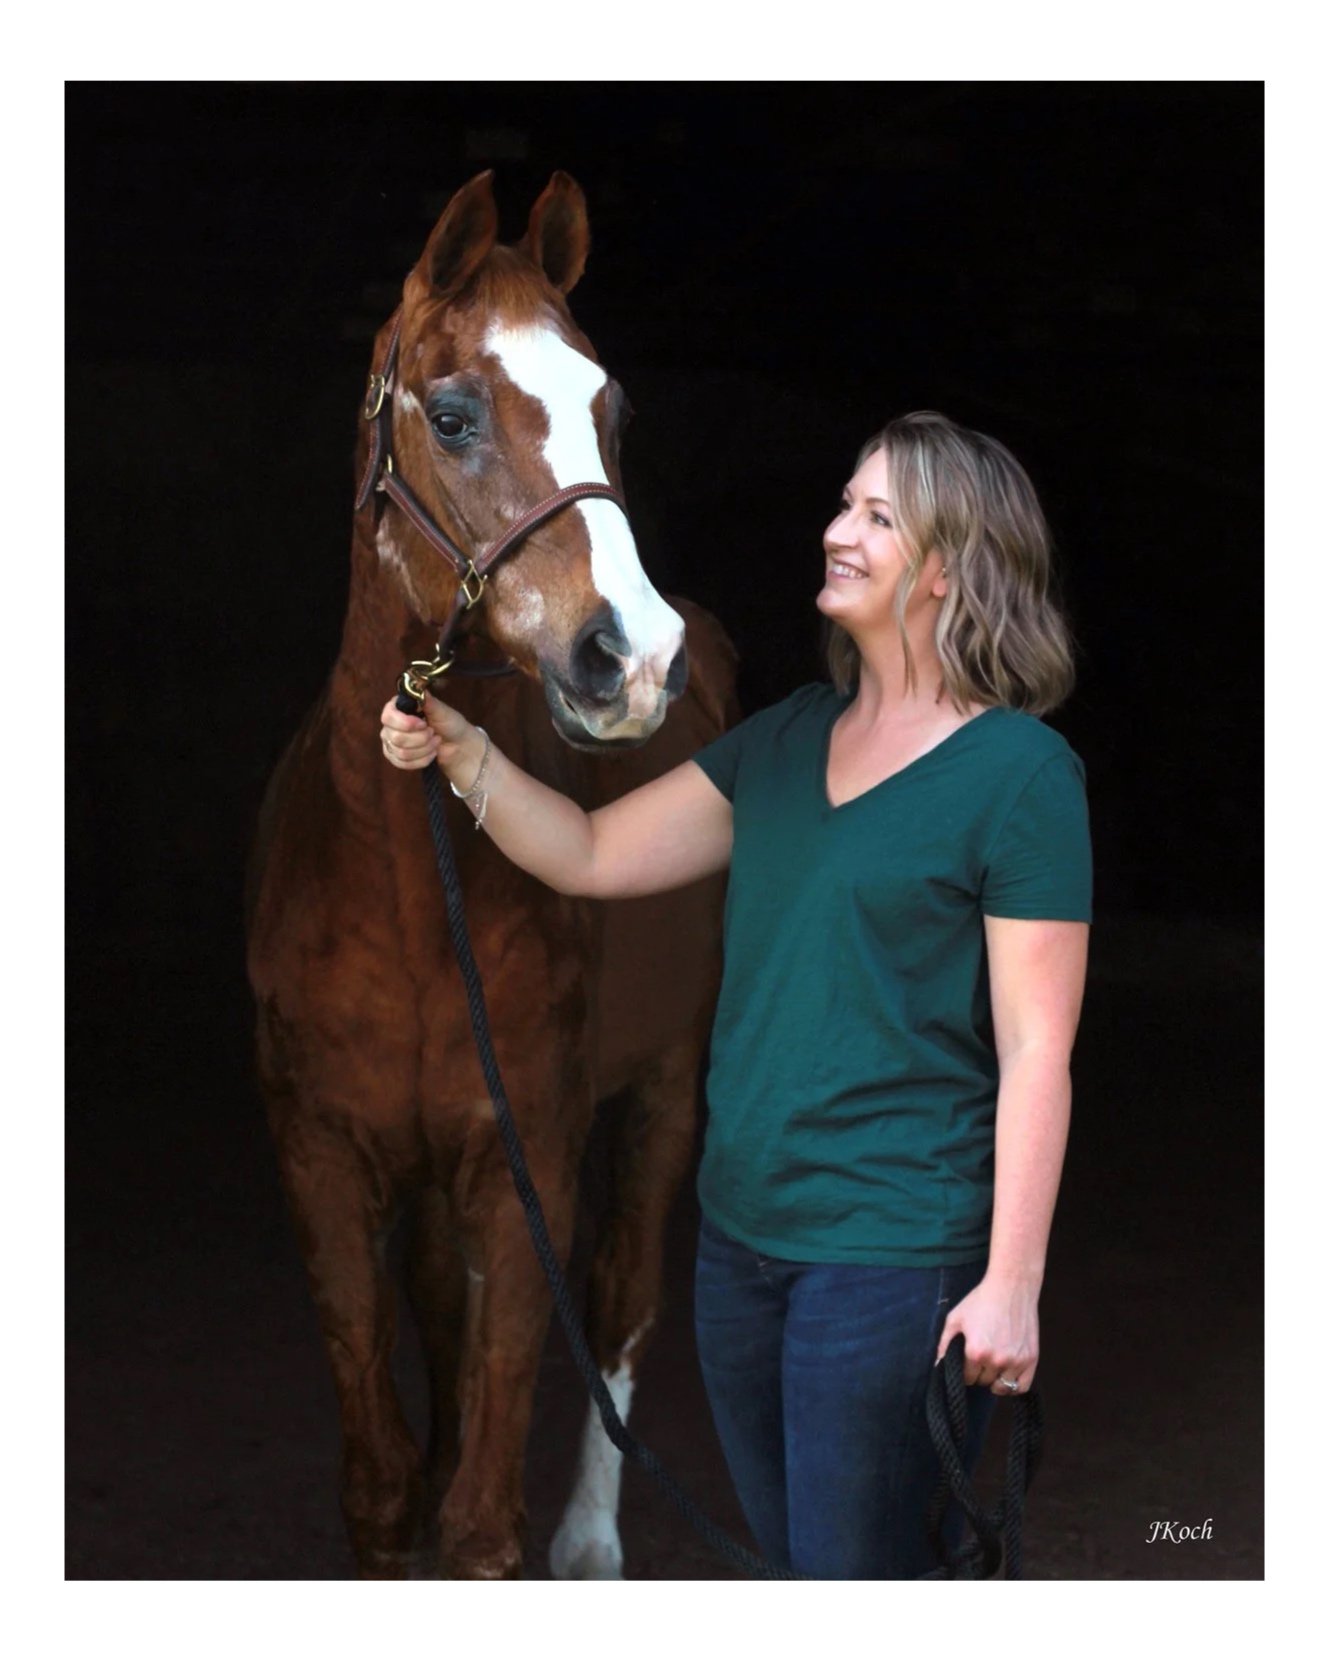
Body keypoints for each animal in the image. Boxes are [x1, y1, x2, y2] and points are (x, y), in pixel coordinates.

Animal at [245, 169, 737, 1580]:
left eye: (612, 410)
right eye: (454, 413)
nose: (636, 657)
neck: (408, 890)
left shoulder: (533, 1166)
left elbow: (479, 1514)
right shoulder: (326, 1162)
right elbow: (384, 1482)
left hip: (662, 1095)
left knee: (620, 1305)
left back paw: (593, 1540)